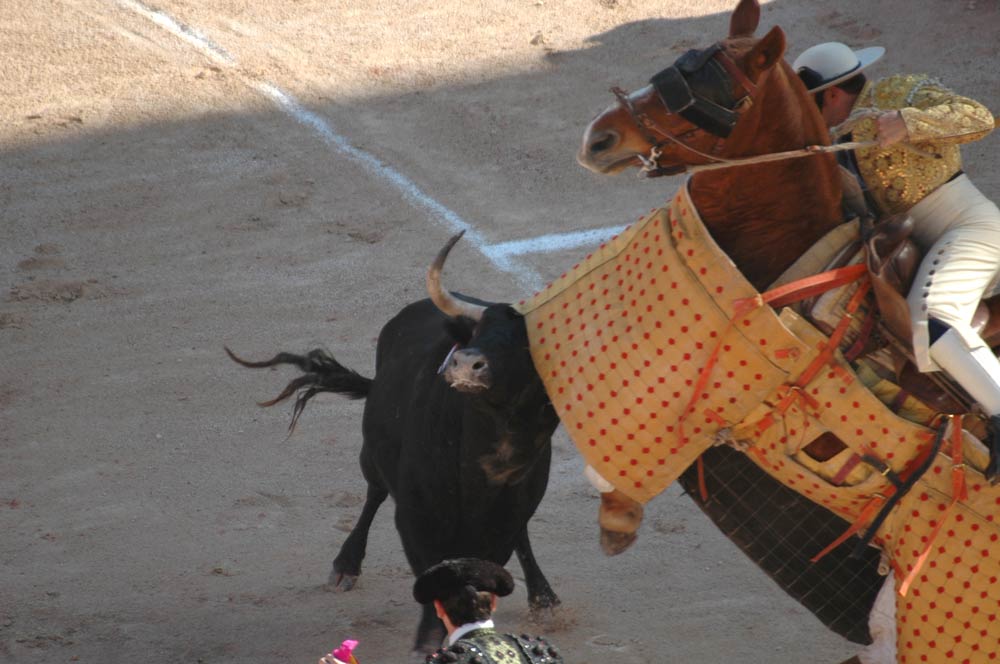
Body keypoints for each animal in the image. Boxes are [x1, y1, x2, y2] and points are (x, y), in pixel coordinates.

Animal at [229, 233, 884, 652]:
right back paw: (345, 565)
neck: (484, 463)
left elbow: (497, 554)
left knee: (519, 535)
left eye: (530, 354)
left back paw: (543, 593)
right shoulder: (416, 517)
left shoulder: (508, 506)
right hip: (373, 456)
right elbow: (427, 568)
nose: (462, 365)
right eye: (481, 333)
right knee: (369, 495)